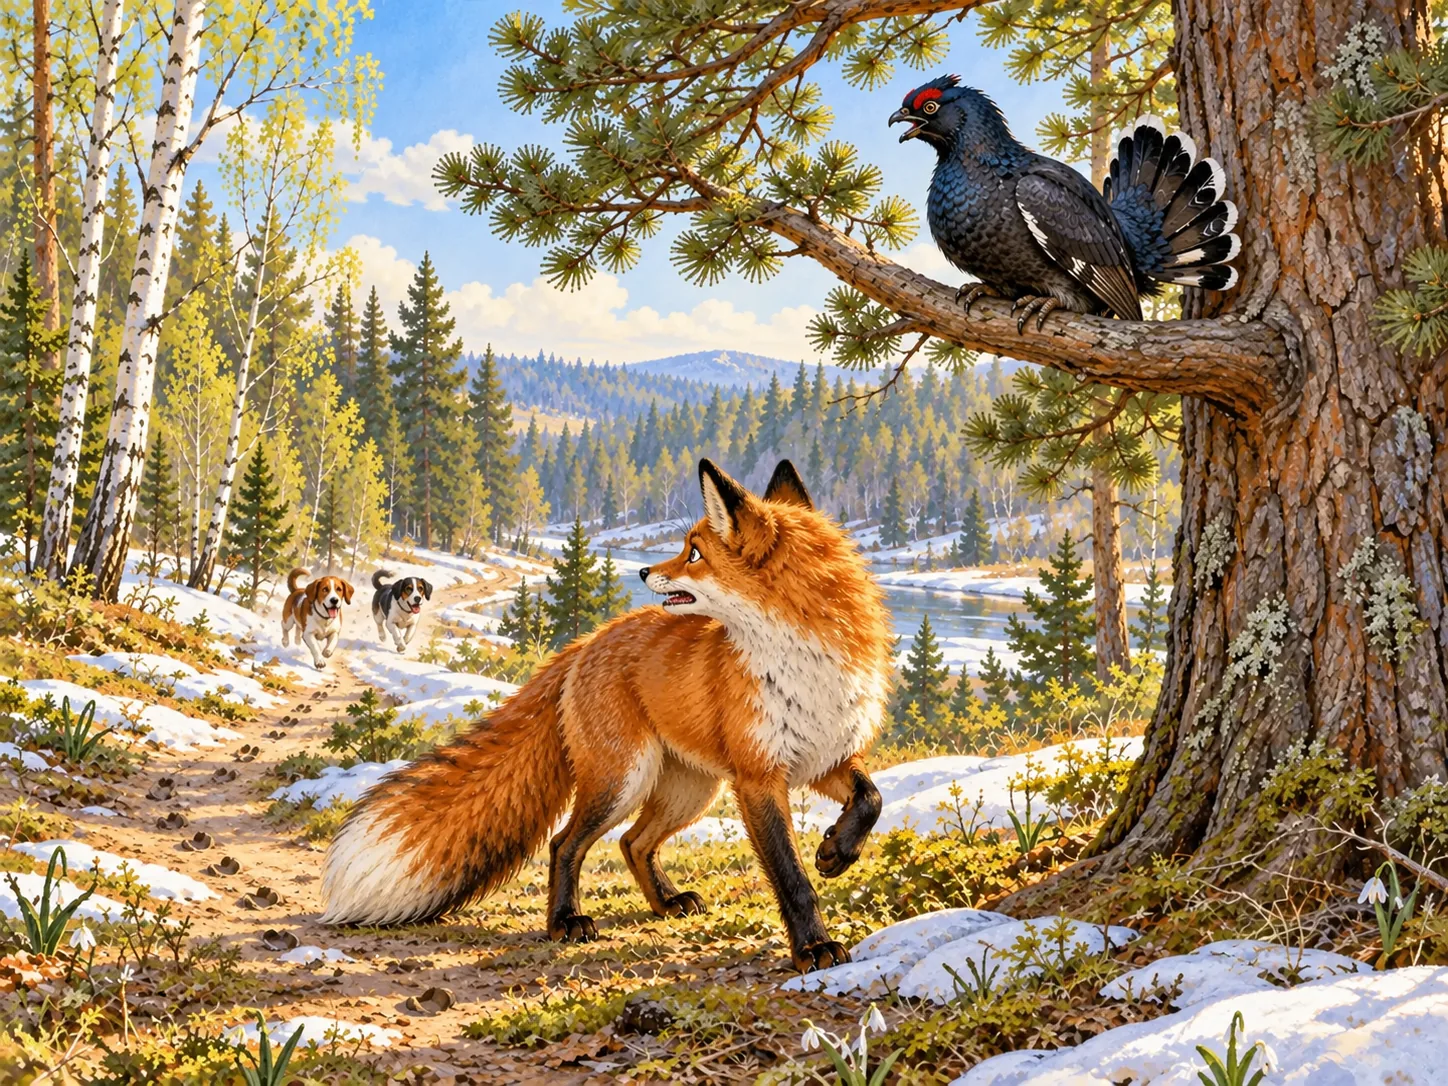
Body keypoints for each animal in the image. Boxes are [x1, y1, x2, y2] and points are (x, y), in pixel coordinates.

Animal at [320, 458, 894, 972]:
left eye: (693, 552)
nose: (642, 570)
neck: (808, 666)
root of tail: (588, 641)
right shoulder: (758, 776)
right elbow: (791, 877)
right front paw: (814, 949)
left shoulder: (826, 756)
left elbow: (871, 799)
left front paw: (838, 851)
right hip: (623, 780)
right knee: (564, 843)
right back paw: (565, 922)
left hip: (690, 791)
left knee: (633, 843)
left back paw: (666, 903)